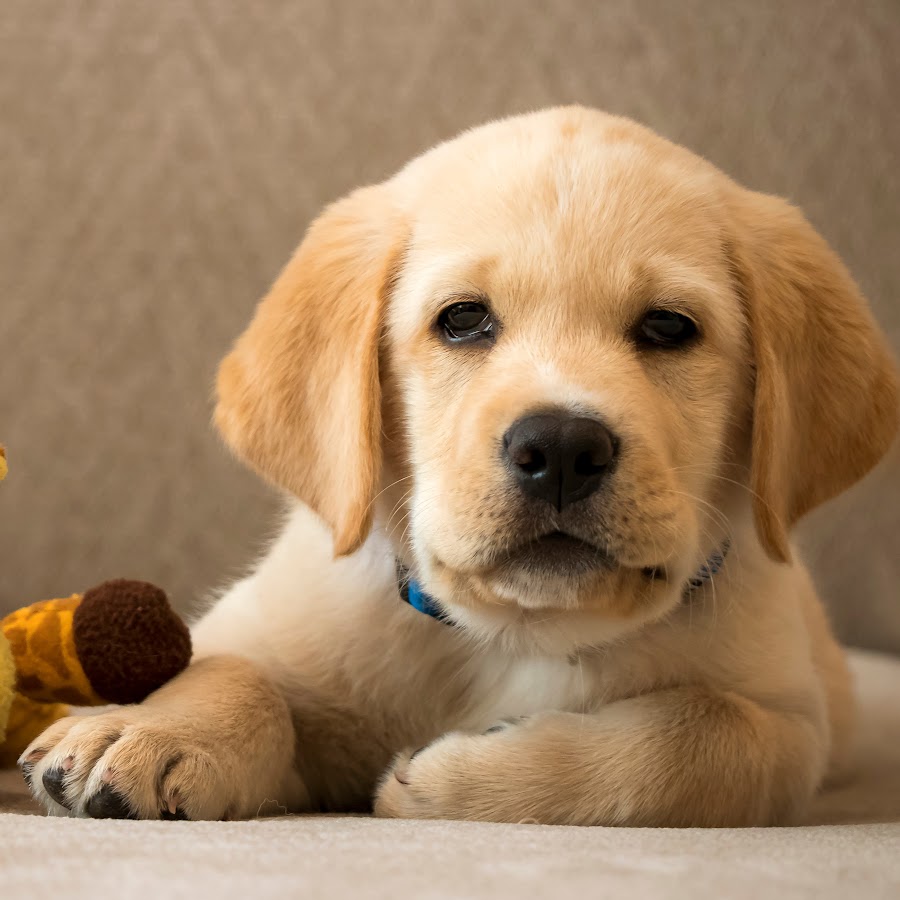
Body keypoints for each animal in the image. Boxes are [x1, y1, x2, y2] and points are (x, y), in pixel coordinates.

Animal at [21, 105, 900, 824]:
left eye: (667, 328)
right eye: (464, 320)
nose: (560, 449)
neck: (517, 636)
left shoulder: (792, 717)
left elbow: (707, 735)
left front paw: (457, 781)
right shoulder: (273, 619)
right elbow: (227, 668)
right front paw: (150, 729)